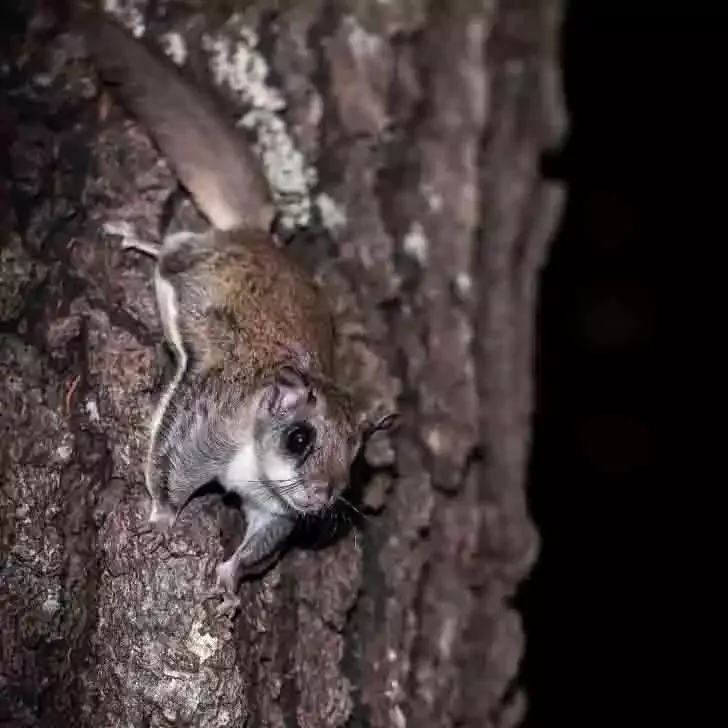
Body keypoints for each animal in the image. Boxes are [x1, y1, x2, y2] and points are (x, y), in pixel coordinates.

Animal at [81, 11, 396, 615]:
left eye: (354, 457)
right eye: (299, 438)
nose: (323, 494)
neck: (258, 467)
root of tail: (259, 236)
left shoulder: (276, 512)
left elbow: (260, 545)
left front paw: (227, 581)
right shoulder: (208, 425)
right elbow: (171, 467)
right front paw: (162, 520)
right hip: (197, 259)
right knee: (176, 248)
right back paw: (143, 242)